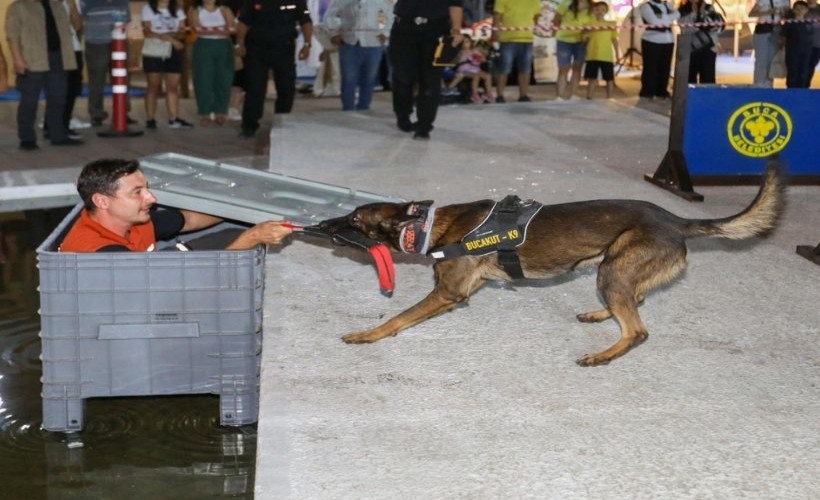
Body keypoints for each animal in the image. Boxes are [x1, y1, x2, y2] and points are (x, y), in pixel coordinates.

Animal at [318, 161, 784, 368]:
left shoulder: (448, 293)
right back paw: (601, 314)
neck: (430, 224)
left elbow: (397, 317)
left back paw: (603, 354)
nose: (322, 224)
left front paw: (367, 334)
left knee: (637, 329)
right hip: (616, 266)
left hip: (613, 269)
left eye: (354, 220)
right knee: (636, 301)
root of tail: (676, 219)